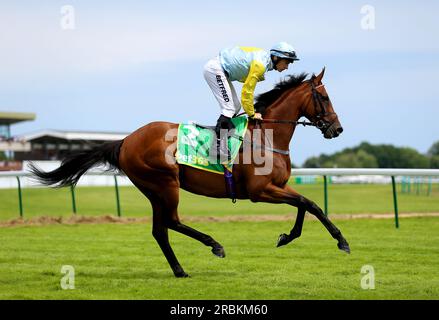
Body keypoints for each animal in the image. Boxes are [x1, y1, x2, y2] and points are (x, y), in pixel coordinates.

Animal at [30, 67, 350, 278]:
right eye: (324, 97)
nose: (337, 128)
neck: (267, 137)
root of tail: (125, 141)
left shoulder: (279, 186)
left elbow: (308, 204)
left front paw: (288, 237)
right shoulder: (260, 192)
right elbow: (308, 204)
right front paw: (341, 241)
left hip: (153, 190)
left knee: (160, 230)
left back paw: (180, 269)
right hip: (165, 184)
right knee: (171, 221)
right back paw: (214, 245)